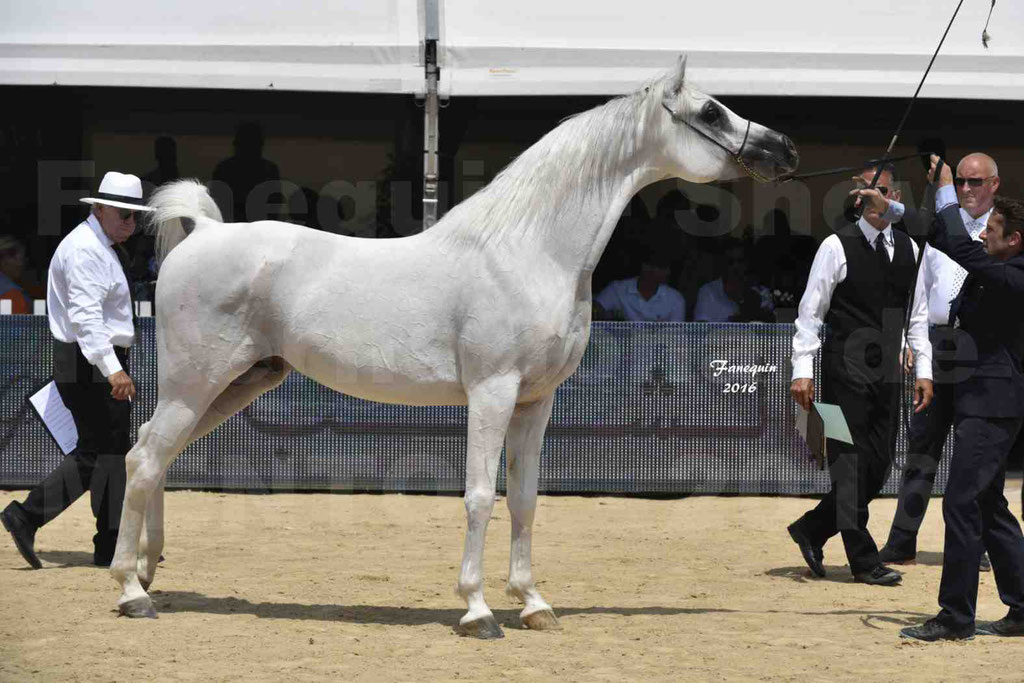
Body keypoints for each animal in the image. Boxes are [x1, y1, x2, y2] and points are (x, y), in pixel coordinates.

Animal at [114, 60, 798, 643]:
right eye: (710, 111)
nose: (784, 151)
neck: (528, 252)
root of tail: (204, 233)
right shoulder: (491, 393)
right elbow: (479, 497)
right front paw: (477, 610)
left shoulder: (537, 402)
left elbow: (523, 499)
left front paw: (534, 603)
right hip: (196, 383)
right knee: (143, 458)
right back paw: (129, 592)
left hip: (240, 383)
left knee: (156, 454)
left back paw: (148, 571)